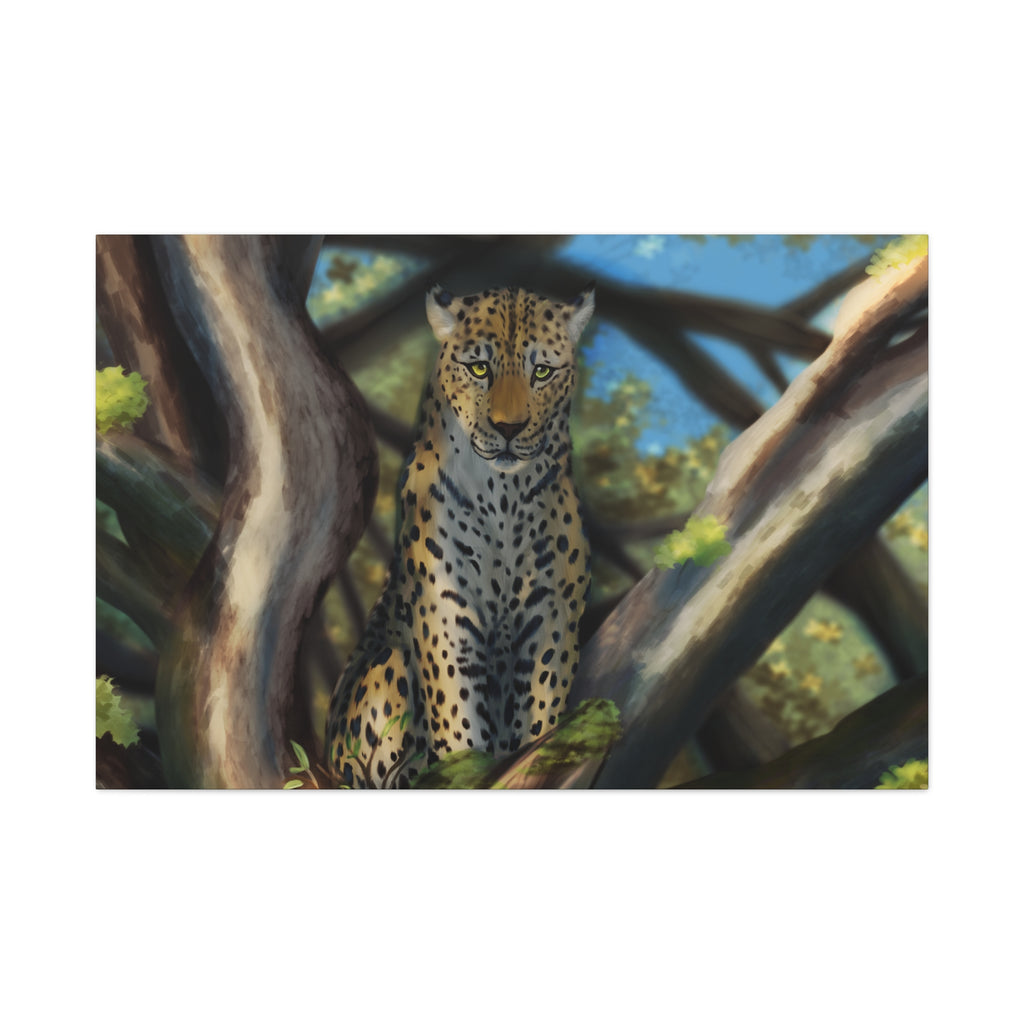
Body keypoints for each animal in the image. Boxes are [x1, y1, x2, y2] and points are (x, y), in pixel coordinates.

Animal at [325, 283, 596, 788]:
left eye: (542, 372)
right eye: (479, 368)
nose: (509, 428)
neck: (504, 496)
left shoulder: (551, 613)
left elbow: (541, 710)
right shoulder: (446, 613)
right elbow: (458, 720)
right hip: (385, 672)